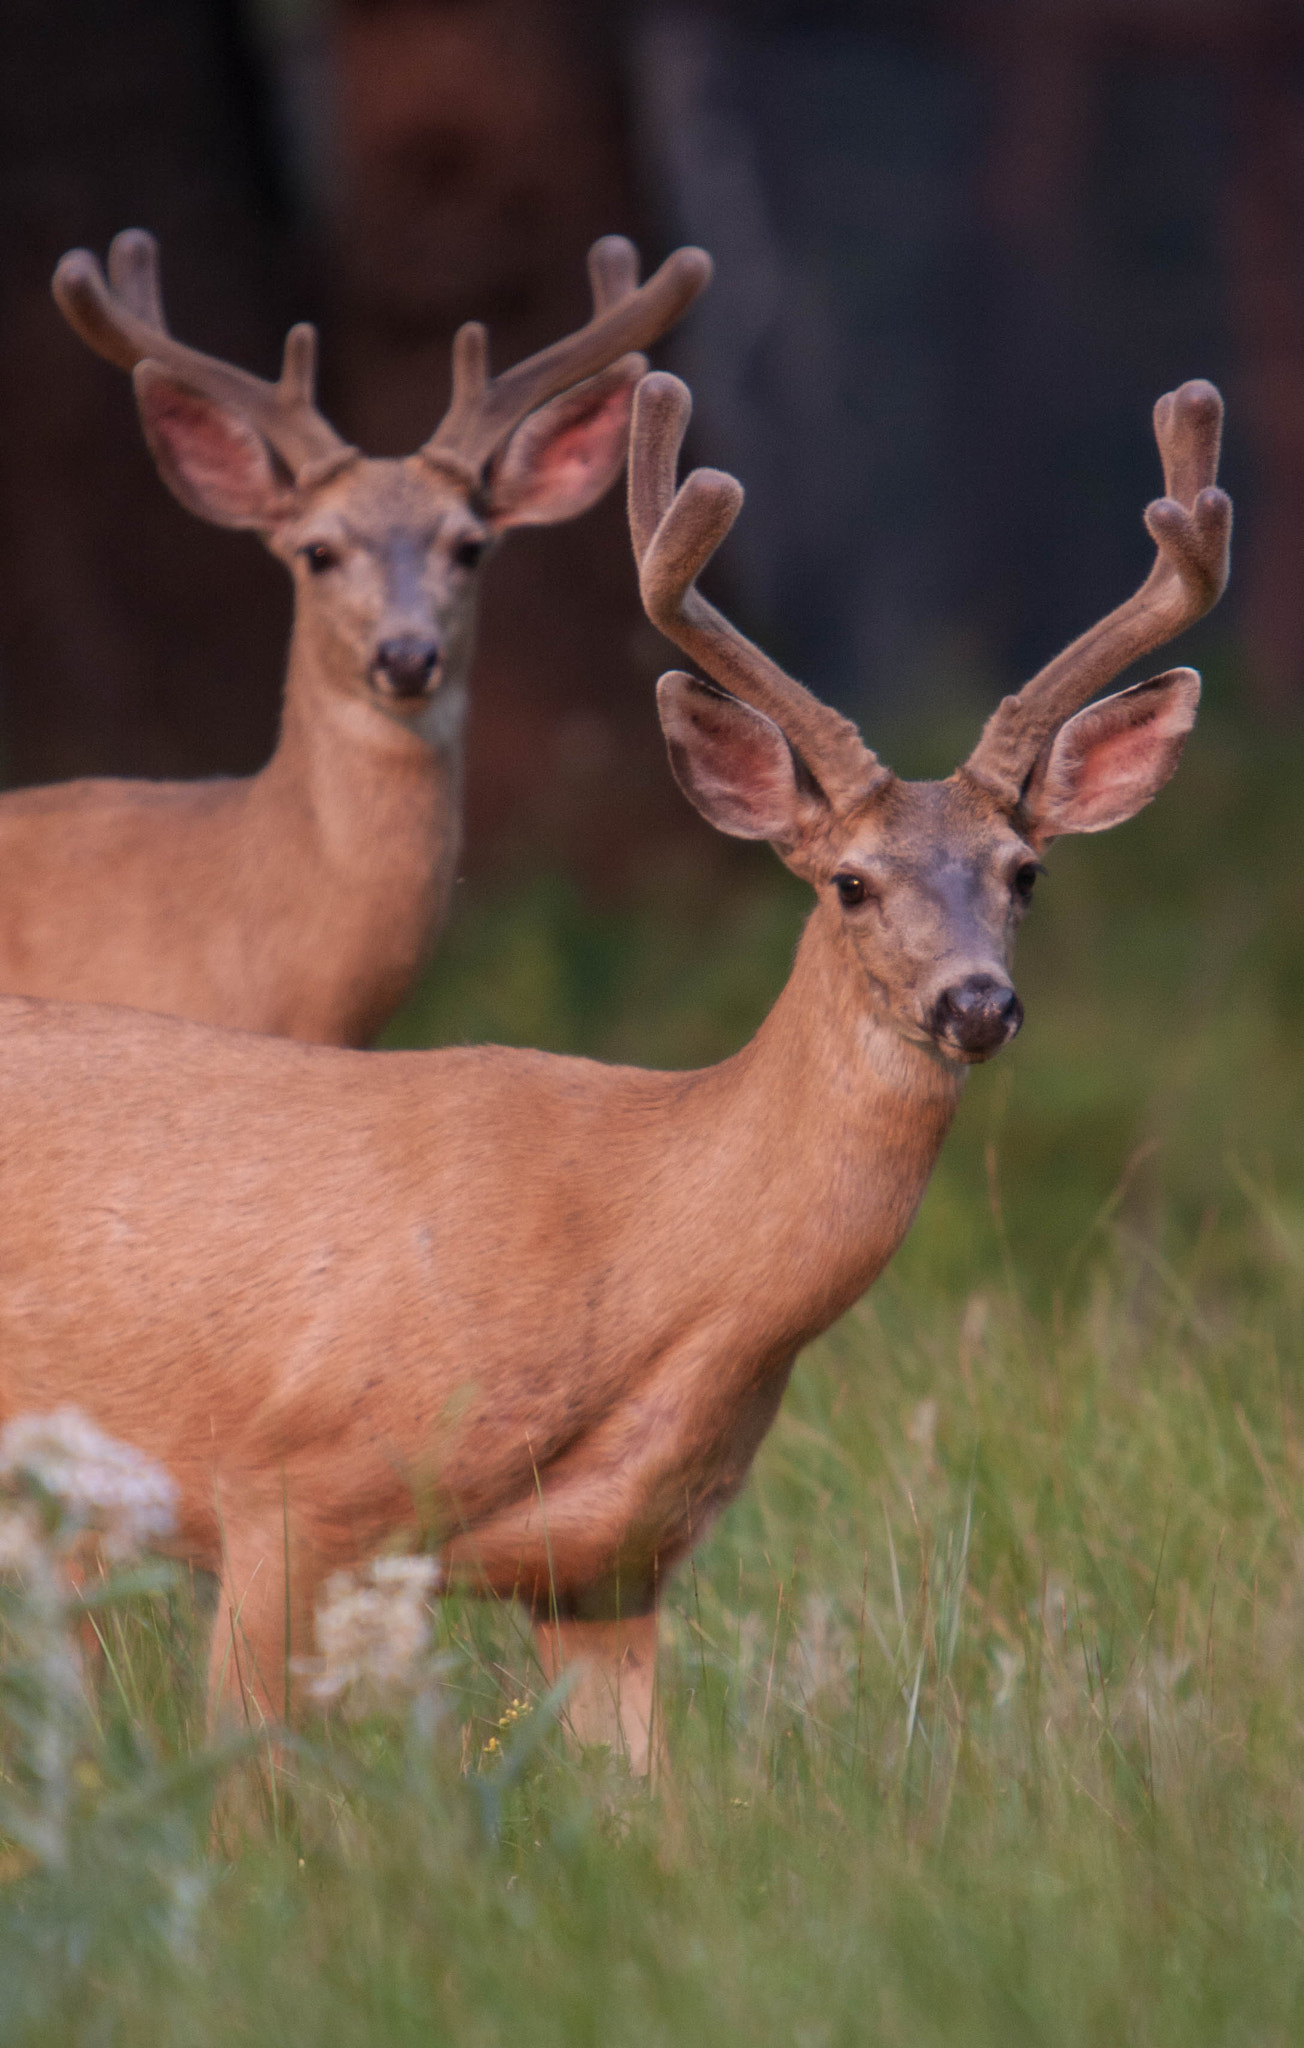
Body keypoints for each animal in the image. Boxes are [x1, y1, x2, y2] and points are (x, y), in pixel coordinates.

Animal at [0, 372, 1228, 1777]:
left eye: (1023, 873)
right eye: (847, 882)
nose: (975, 1001)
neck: (643, 1244)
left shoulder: (610, 1567)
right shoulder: (281, 1489)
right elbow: (241, 1790)